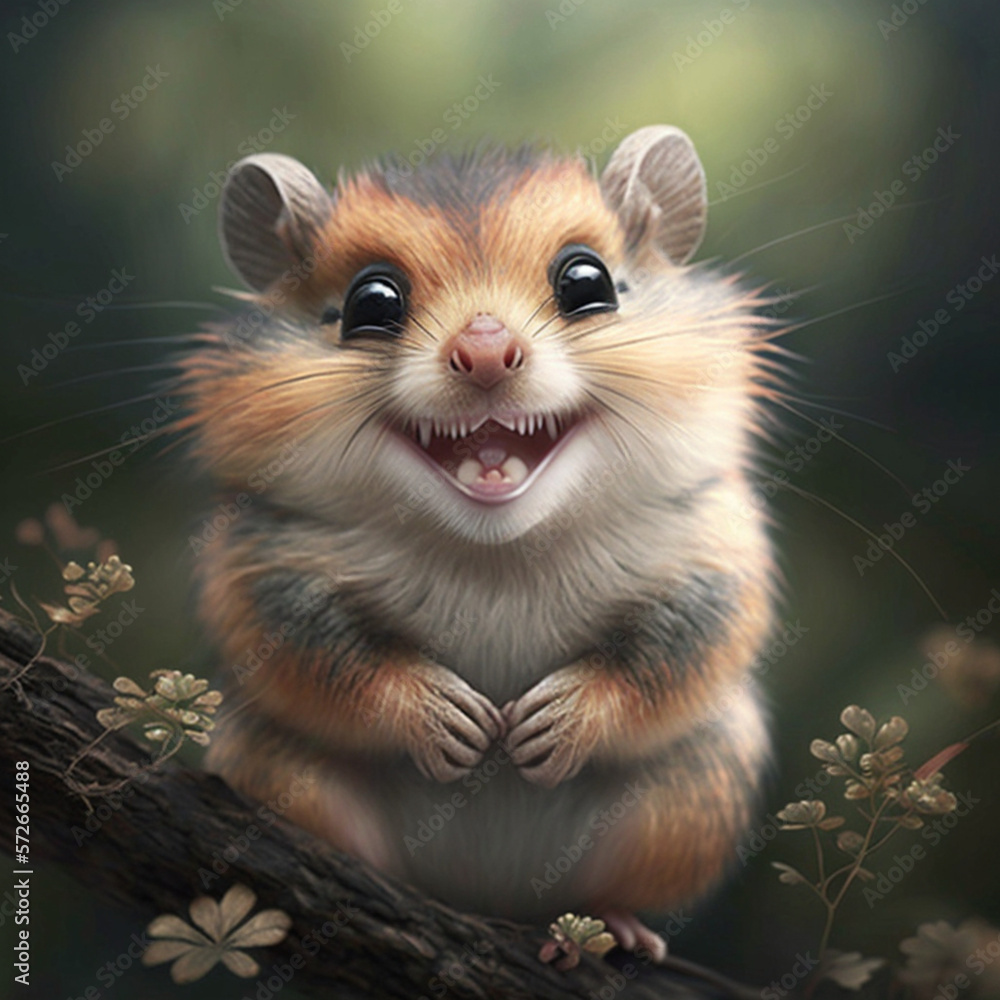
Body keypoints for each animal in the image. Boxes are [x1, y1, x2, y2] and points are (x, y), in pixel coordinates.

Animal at [182, 125, 778, 961]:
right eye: (371, 302)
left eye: (588, 282)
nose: (488, 350)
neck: (498, 549)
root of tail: (492, 893)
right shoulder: (262, 567)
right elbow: (323, 657)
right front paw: (450, 720)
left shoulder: (716, 558)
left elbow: (677, 653)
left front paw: (552, 723)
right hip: (274, 765)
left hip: (689, 793)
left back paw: (608, 929)